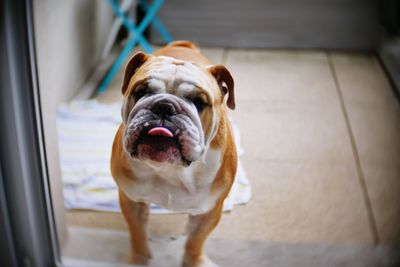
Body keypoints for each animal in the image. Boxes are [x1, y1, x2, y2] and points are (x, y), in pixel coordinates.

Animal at [110, 40, 238, 267]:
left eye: (199, 102)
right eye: (140, 92)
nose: (164, 106)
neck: (171, 168)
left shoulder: (209, 211)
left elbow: (196, 240)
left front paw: (195, 261)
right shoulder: (132, 201)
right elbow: (137, 233)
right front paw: (138, 259)